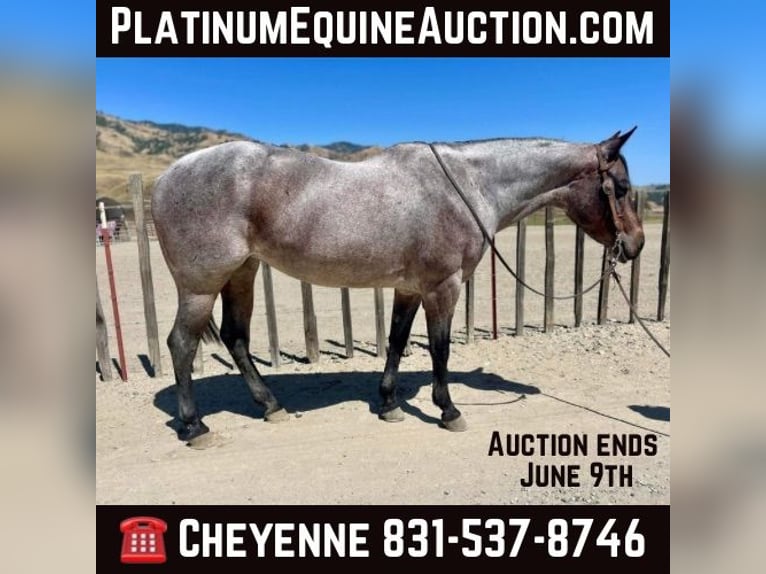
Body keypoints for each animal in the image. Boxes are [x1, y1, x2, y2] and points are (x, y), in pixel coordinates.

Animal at [152, 128, 643, 441]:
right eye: (619, 187)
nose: (636, 244)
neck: (467, 186)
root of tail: (165, 177)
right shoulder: (443, 286)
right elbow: (440, 349)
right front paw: (448, 410)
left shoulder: (409, 288)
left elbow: (396, 341)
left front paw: (388, 405)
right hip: (201, 286)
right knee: (182, 343)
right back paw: (195, 426)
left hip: (243, 273)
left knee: (235, 337)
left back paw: (271, 406)